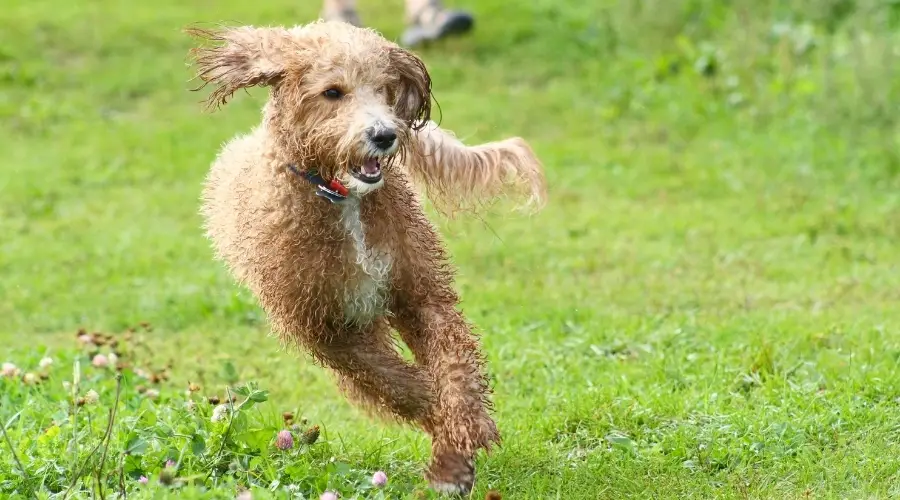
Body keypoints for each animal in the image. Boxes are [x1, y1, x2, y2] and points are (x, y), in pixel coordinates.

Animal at [186, 21, 544, 494]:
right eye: (332, 92)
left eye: (383, 89)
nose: (385, 134)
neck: (341, 197)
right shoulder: (330, 331)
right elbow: (403, 386)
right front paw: (449, 447)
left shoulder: (420, 294)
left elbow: (453, 368)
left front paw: (459, 440)